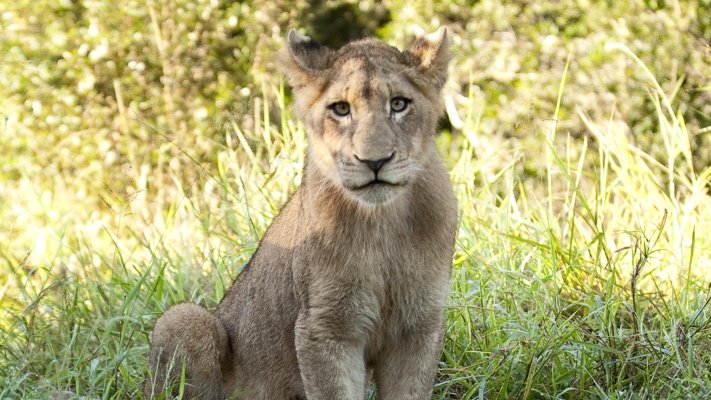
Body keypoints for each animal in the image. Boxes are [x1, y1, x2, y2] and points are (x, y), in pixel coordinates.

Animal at [147, 28, 458, 400]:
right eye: (341, 109)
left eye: (398, 104)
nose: (375, 161)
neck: (382, 224)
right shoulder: (322, 328)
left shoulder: (420, 325)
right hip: (184, 319)